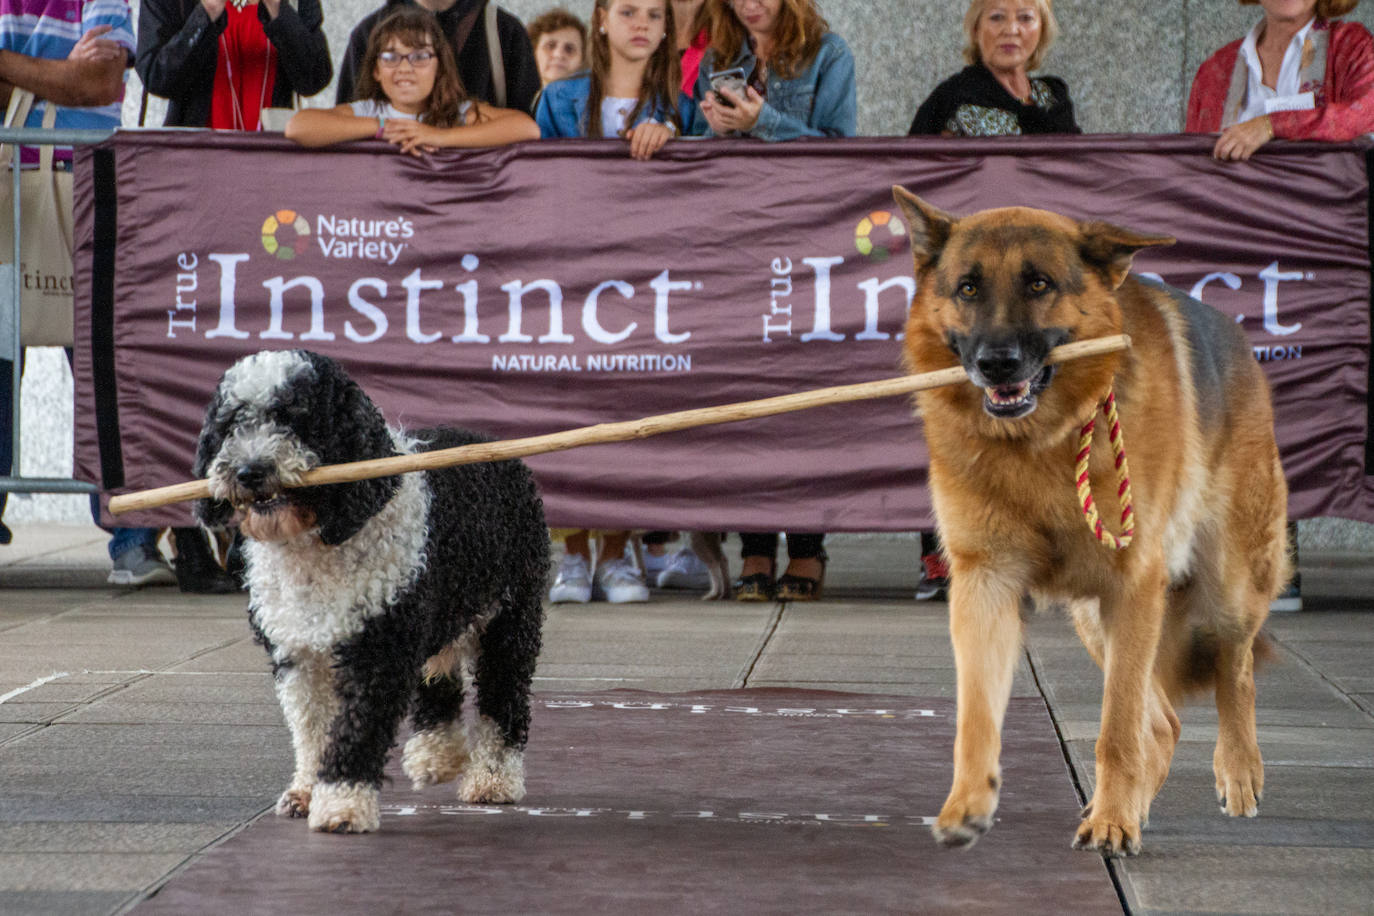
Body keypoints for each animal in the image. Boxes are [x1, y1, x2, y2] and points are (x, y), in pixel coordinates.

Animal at [193, 347, 546, 834]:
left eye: (297, 419)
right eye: (232, 423)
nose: (249, 471)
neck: (323, 535)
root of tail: (496, 446)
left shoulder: (378, 647)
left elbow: (356, 729)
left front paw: (342, 803)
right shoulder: (299, 652)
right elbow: (313, 728)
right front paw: (307, 791)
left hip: (510, 617)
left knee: (503, 697)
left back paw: (493, 778)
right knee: (437, 675)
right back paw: (435, 753)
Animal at [895, 188, 1291, 862]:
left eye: (1039, 283)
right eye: (968, 288)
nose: (996, 365)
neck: (1039, 443)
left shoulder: (1132, 587)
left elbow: (1116, 731)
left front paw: (1112, 823)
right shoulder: (984, 585)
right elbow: (977, 715)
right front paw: (968, 804)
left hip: (1225, 588)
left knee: (1232, 671)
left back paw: (1235, 772)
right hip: (1096, 621)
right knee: (1163, 721)